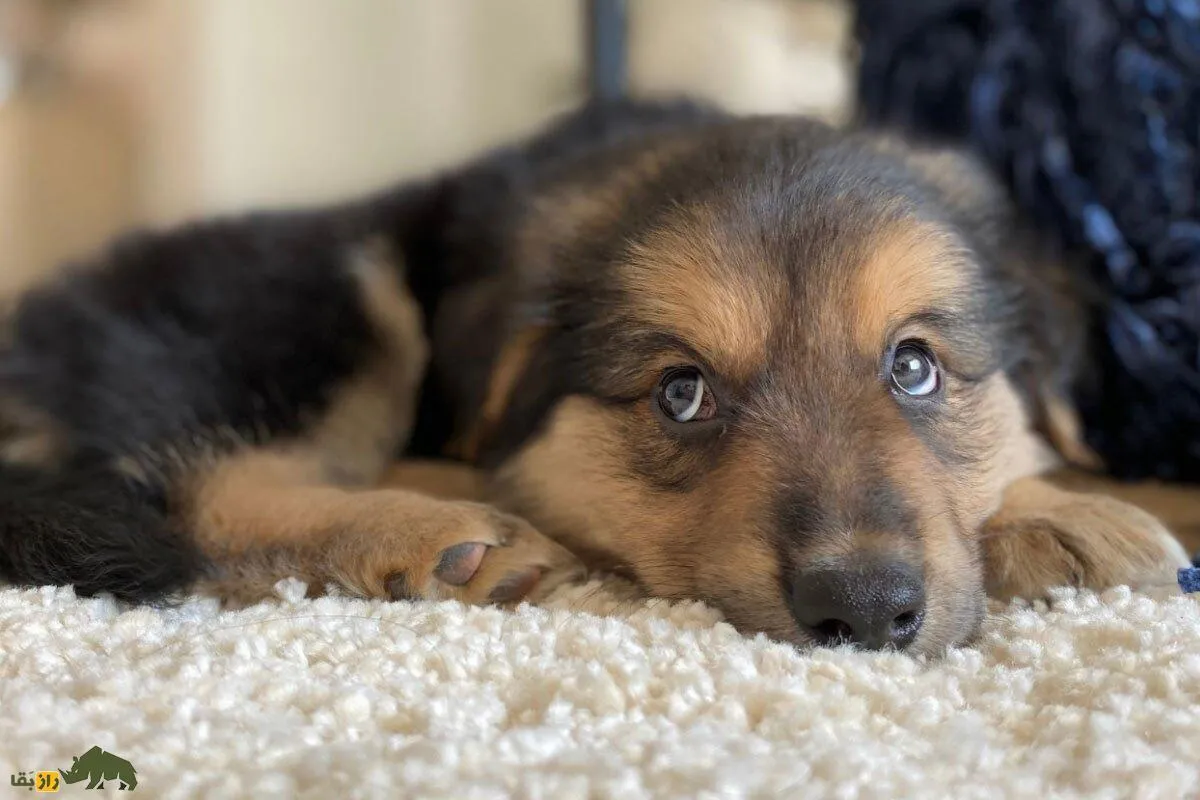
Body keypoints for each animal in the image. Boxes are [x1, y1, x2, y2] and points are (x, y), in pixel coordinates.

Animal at [0, 100, 1191, 656]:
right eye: (682, 392)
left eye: (913, 366)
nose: (862, 608)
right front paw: (1071, 513)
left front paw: (1075, 504)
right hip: (335, 293)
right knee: (205, 479)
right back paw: (429, 525)